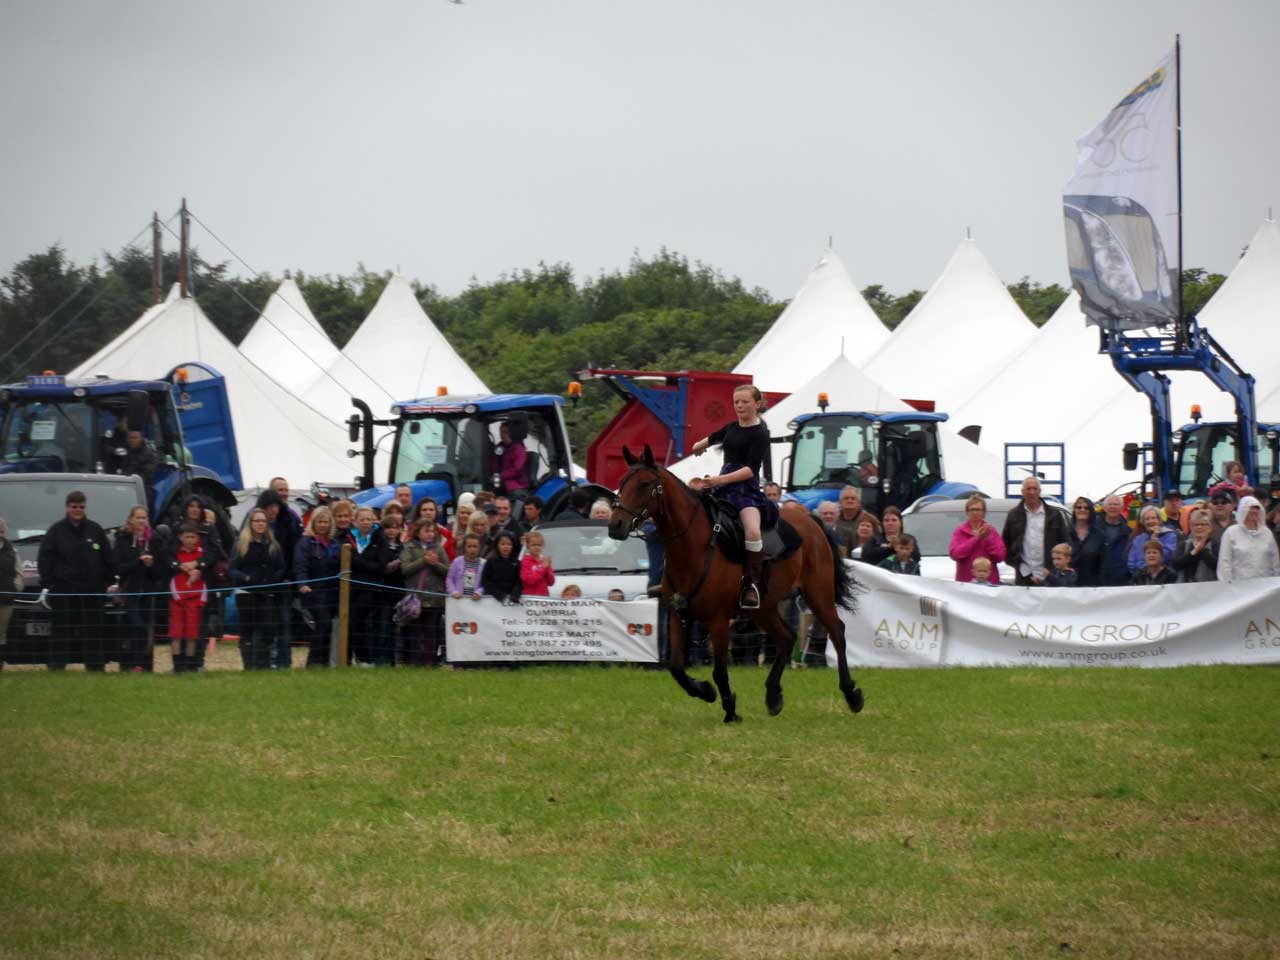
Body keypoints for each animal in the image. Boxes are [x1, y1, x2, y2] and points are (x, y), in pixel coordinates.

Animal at [606, 448, 865, 727]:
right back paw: (773, 695)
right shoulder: (677, 615)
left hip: (818, 594)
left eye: (644, 484)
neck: (692, 546)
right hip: (763, 608)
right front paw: (705, 691)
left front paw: (730, 710)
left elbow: (719, 670)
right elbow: (676, 668)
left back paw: (851, 694)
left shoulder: (718, 621)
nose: (615, 525)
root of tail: (811, 519)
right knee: (786, 638)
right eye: (622, 483)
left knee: (837, 633)